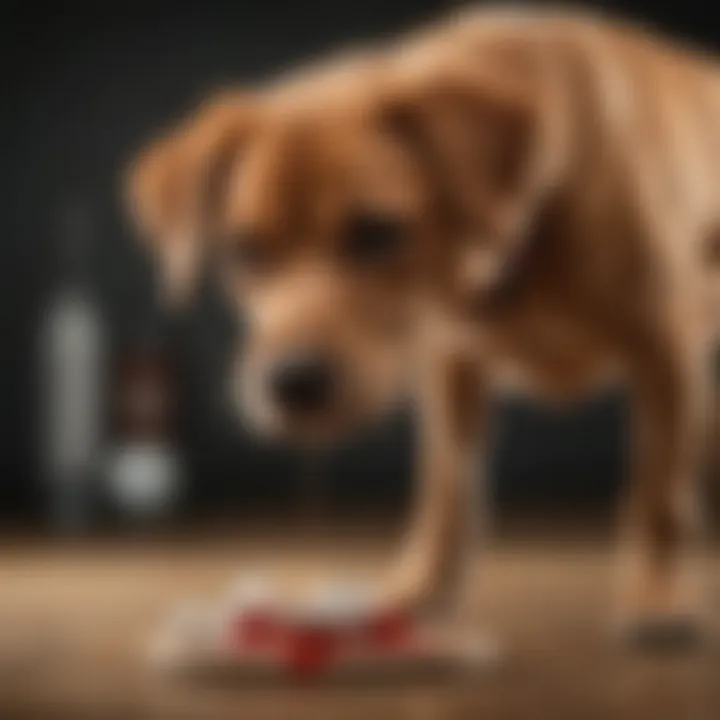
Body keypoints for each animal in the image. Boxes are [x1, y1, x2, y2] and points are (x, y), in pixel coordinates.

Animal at [128, 9, 716, 640]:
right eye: (247, 250)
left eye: (375, 232)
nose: (293, 383)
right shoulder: (450, 369)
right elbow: (446, 495)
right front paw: (417, 592)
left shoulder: (665, 352)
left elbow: (658, 497)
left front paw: (658, 597)